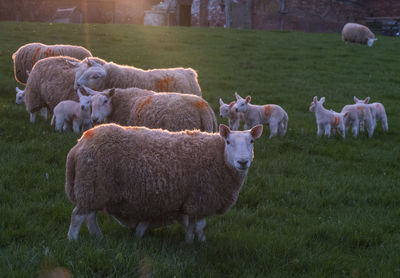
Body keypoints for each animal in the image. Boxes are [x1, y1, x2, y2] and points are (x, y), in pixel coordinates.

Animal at [65, 122, 264, 242]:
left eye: (252, 141)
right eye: (229, 142)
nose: (243, 162)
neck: (220, 157)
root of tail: (80, 143)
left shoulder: (189, 200)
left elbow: (190, 224)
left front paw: (191, 241)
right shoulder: (202, 198)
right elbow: (200, 226)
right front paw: (199, 244)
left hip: (95, 188)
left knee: (90, 216)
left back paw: (98, 237)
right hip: (91, 185)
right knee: (77, 216)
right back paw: (73, 240)